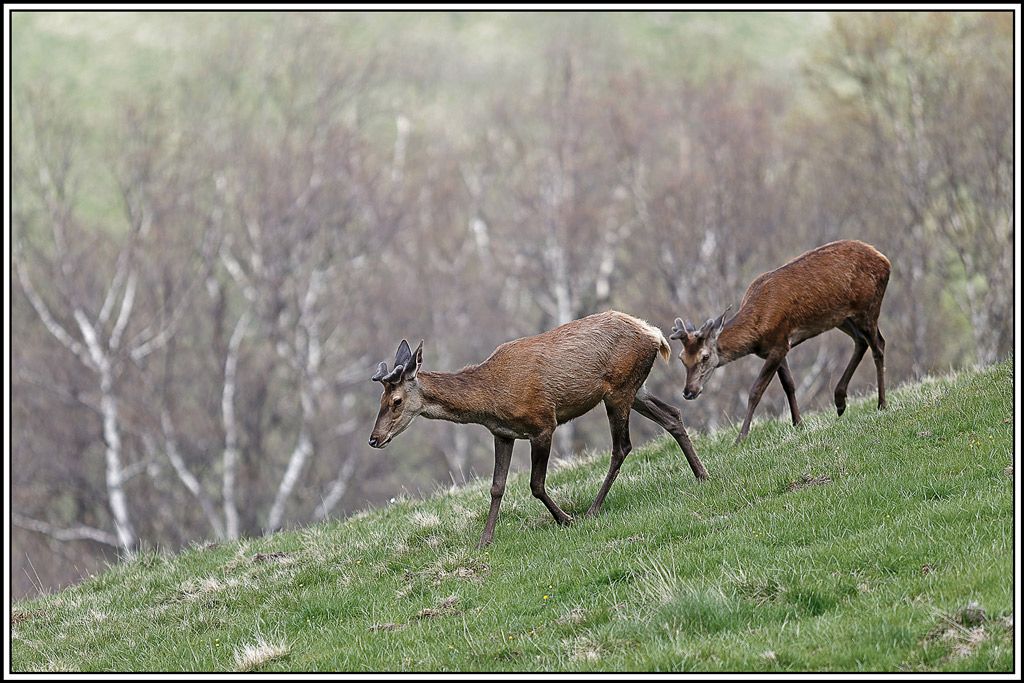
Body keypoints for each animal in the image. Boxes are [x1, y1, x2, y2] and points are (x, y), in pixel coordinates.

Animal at [368, 310, 708, 548]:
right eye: (380, 399)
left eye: (396, 400)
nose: (374, 439)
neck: (491, 400)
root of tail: (656, 335)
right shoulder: (502, 433)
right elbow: (496, 487)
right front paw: (484, 541)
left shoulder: (543, 422)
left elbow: (535, 484)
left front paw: (565, 519)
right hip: (635, 388)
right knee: (673, 415)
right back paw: (701, 474)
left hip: (619, 388)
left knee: (621, 446)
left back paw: (593, 509)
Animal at [670, 239, 890, 443]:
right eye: (681, 358)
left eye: (705, 357)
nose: (688, 392)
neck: (757, 331)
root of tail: (884, 259)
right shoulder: (779, 346)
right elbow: (789, 385)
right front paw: (798, 424)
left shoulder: (778, 344)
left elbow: (756, 391)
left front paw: (741, 437)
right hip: (841, 317)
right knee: (861, 341)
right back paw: (840, 400)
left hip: (868, 306)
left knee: (878, 344)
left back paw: (882, 404)